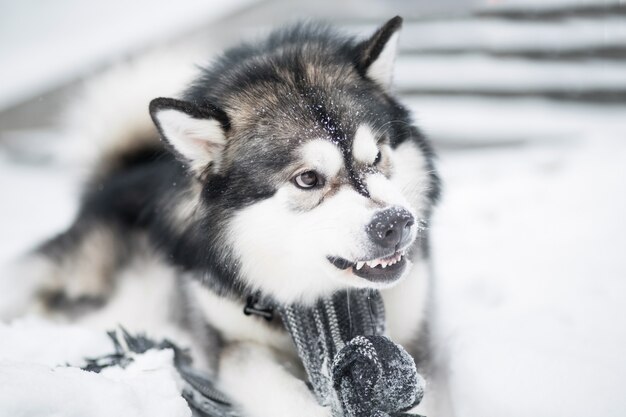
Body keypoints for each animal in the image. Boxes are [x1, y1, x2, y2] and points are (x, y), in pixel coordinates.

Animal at [2, 17, 438, 416]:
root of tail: (118, 175)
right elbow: (276, 387)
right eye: (308, 179)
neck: (306, 295)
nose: (395, 224)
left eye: (377, 156)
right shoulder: (233, 342)